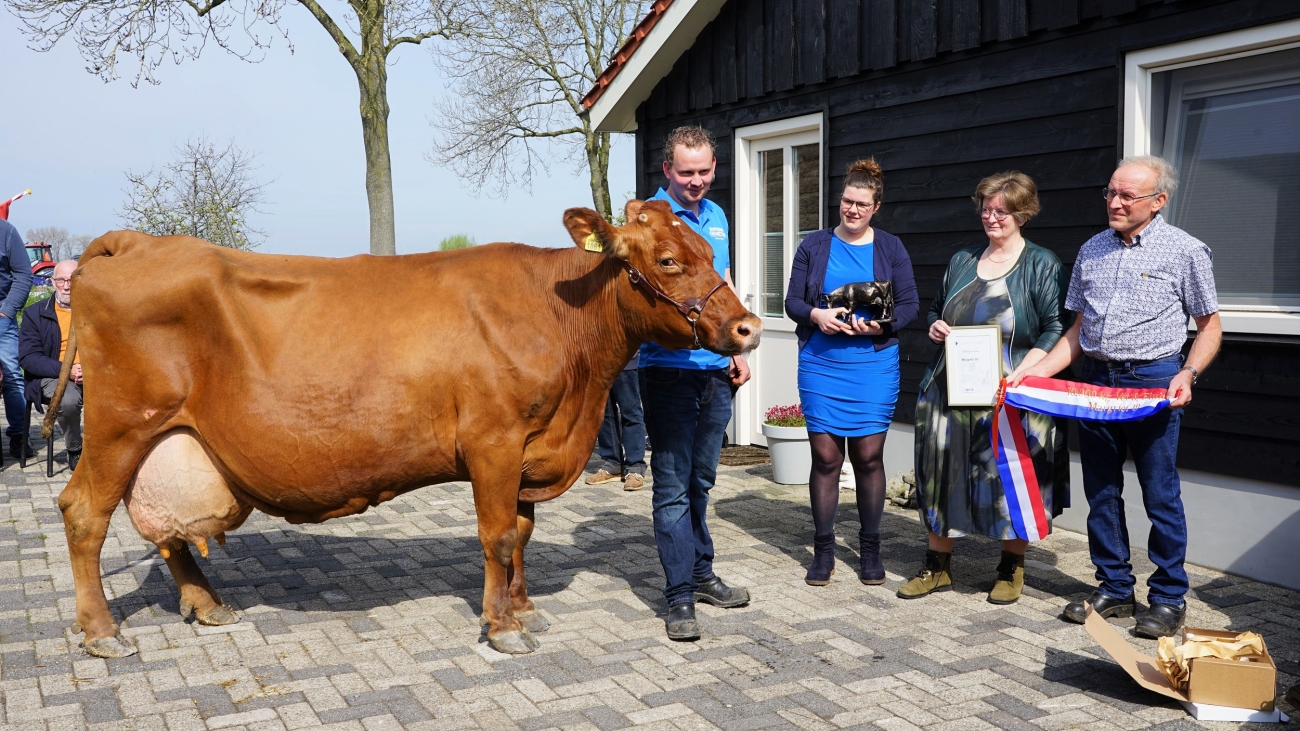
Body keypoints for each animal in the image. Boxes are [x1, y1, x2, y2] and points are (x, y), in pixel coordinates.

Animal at [53, 199, 759, 655]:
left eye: (707, 249)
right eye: (667, 260)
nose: (748, 327)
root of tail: (138, 241)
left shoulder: (530, 449)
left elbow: (524, 532)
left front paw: (524, 609)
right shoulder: (493, 442)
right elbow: (500, 536)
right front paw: (502, 629)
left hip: (168, 438)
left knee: (165, 527)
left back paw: (206, 605)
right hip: (119, 426)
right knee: (85, 512)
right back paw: (102, 634)